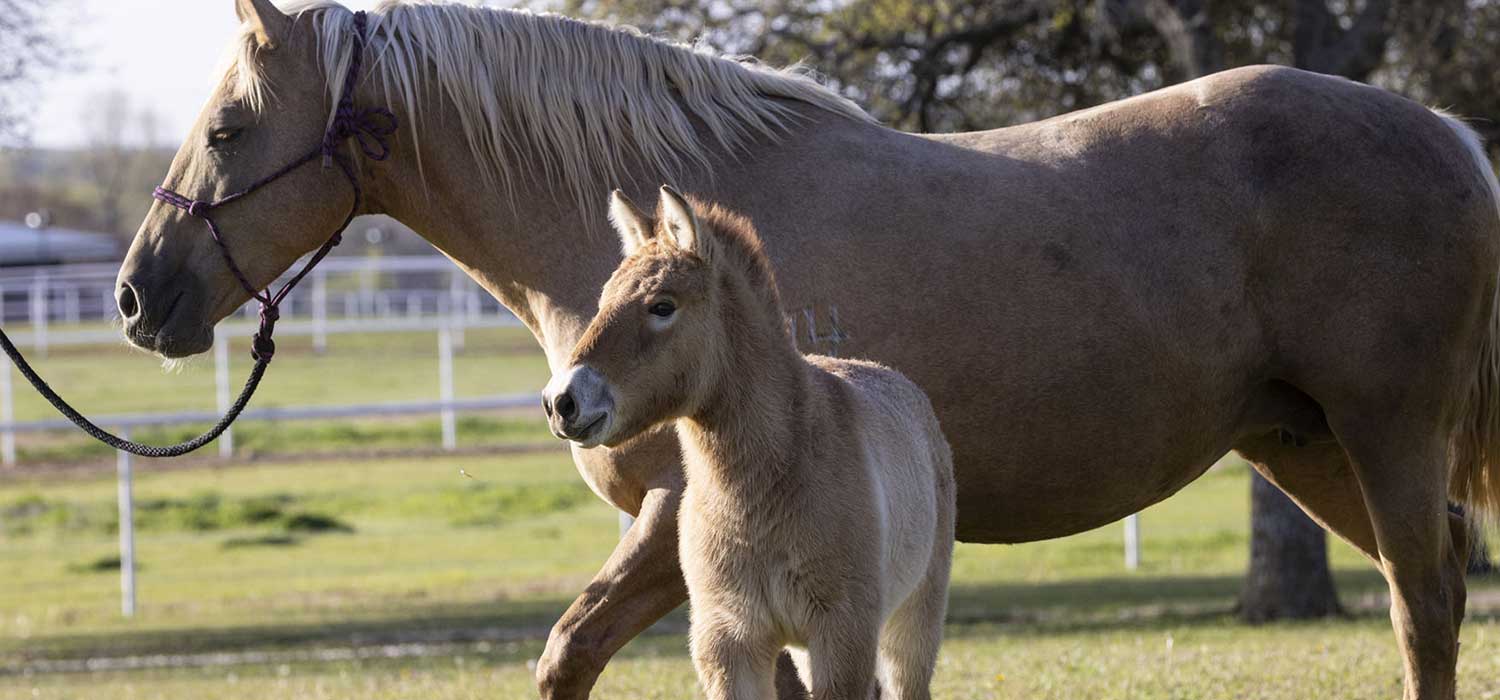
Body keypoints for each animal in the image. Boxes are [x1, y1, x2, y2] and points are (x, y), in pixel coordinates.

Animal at [546, 187, 954, 700]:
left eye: (662, 305)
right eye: (603, 300)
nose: (562, 402)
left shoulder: (843, 634)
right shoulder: (729, 641)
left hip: (912, 621)